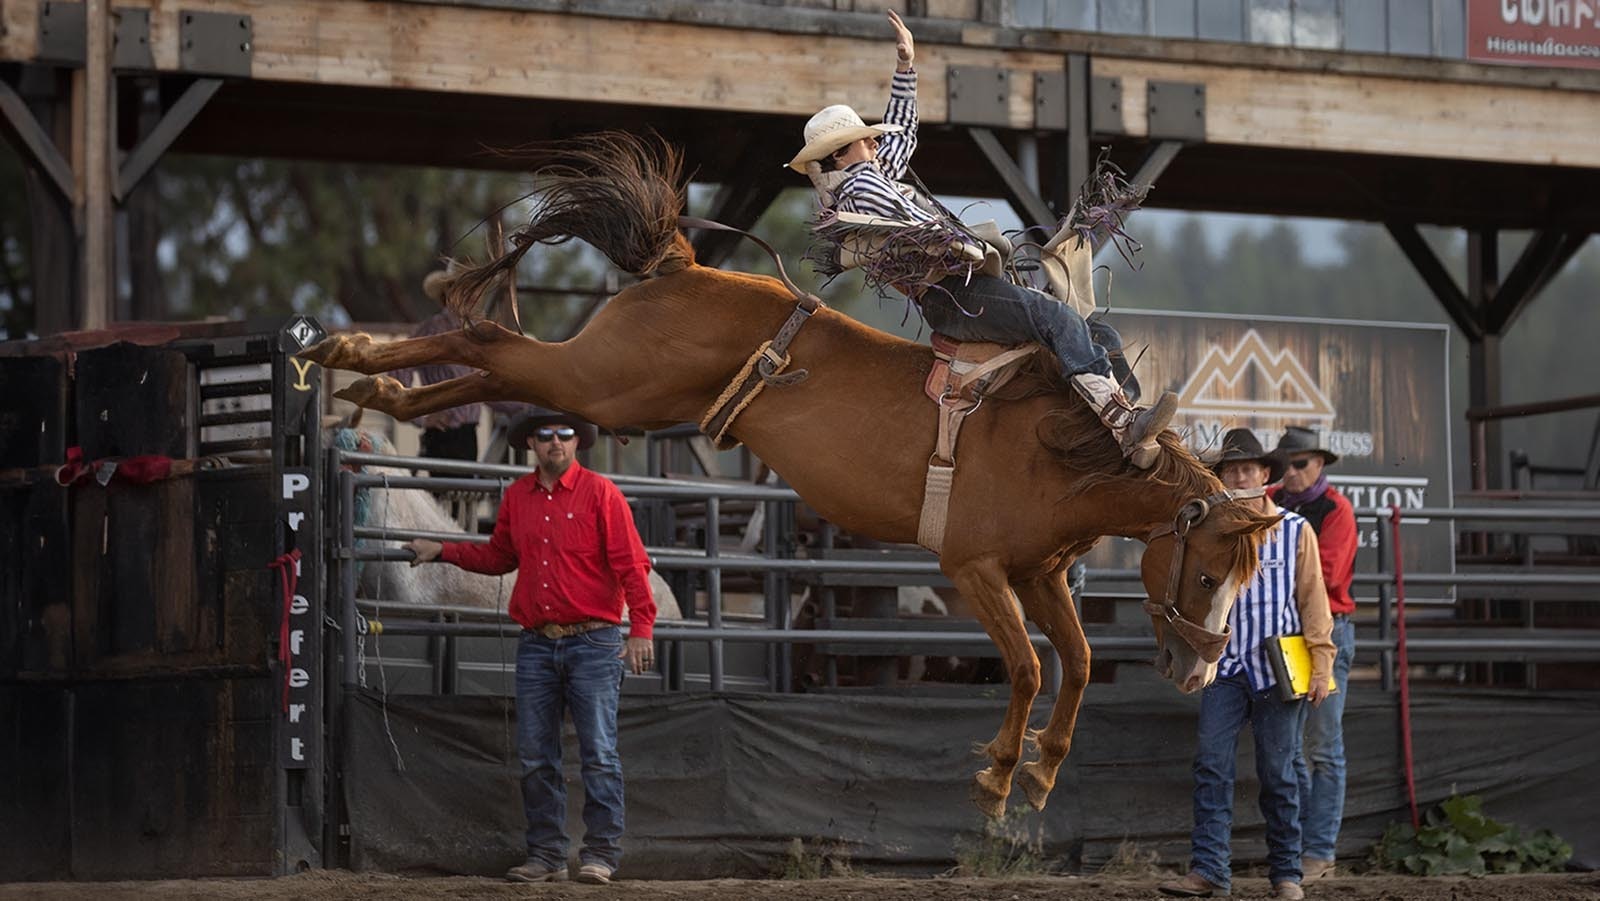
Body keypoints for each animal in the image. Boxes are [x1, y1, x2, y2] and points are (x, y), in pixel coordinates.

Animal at [297, 132, 1273, 819]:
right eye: (1212, 573)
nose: (1195, 671)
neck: (1062, 444)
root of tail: (684, 265)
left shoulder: (1039, 573)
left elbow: (1076, 662)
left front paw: (1036, 776)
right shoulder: (974, 569)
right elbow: (1033, 668)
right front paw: (998, 777)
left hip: (612, 389)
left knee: (488, 360)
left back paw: (374, 381)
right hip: (601, 380)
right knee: (492, 340)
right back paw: (352, 354)